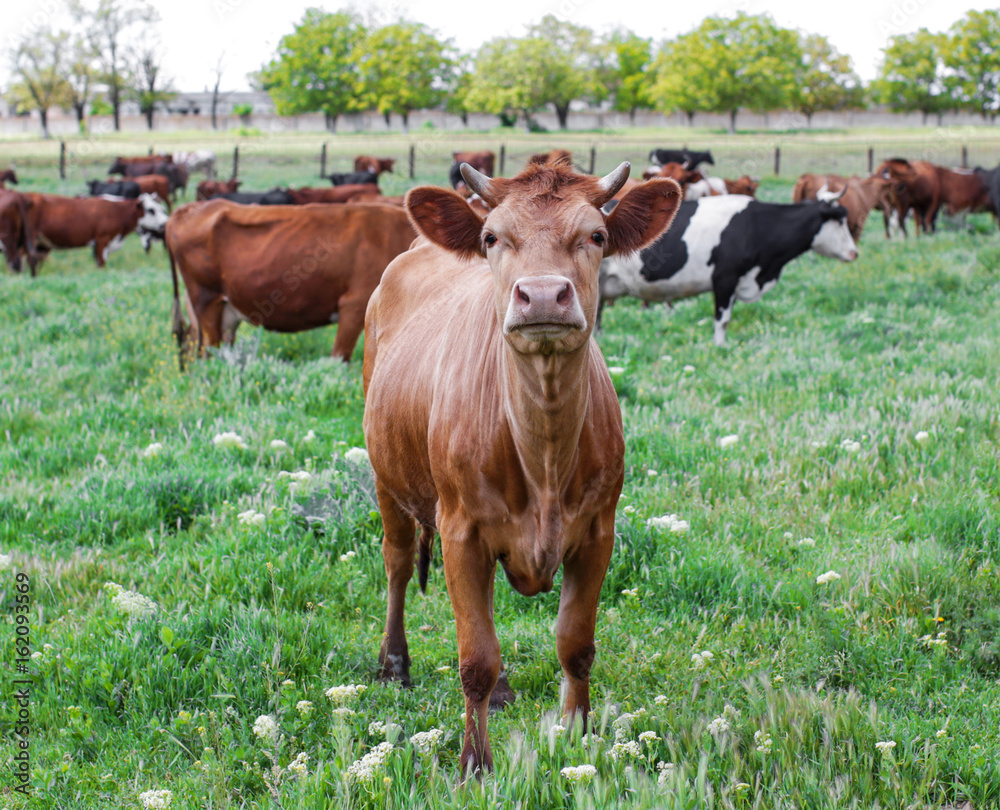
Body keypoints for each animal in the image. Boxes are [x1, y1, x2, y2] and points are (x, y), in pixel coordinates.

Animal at [21, 192, 168, 268]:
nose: (165, 223)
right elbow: (102, 263)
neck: (118, 211)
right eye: (151, 210)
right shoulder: (102, 241)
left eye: (162, 208)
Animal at [166, 200, 416, 366]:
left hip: (222, 311)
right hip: (207, 301)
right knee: (208, 350)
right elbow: (339, 358)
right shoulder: (353, 304)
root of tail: (190, 208)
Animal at [362, 159, 681, 776]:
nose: (542, 295)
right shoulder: (460, 530)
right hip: (386, 476)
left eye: (596, 236)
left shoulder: (598, 531)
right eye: (492, 238)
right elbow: (475, 659)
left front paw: (578, 735)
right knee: (396, 562)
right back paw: (394, 663)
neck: (544, 457)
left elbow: (574, 645)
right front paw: (474, 765)